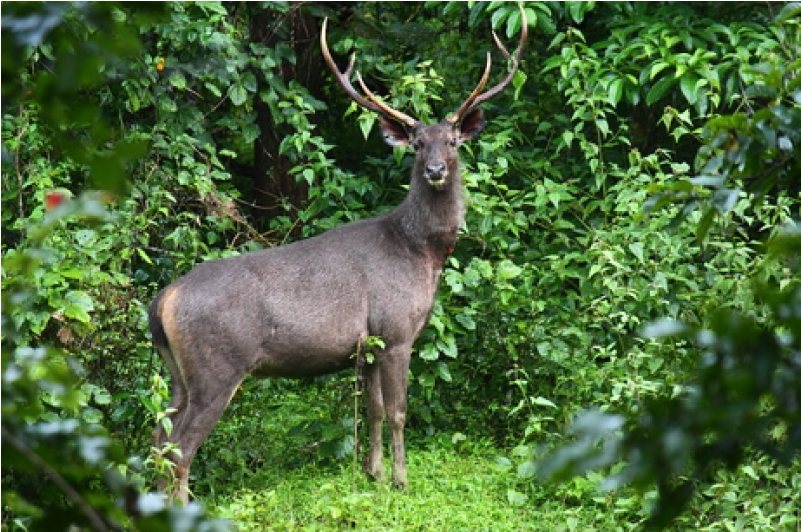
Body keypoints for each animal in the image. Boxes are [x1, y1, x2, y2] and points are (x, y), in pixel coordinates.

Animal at [149, 7, 527, 503]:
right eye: (417, 144)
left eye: (453, 141)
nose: (435, 170)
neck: (420, 252)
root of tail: (163, 301)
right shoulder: (396, 330)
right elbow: (400, 412)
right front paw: (402, 481)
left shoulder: (366, 345)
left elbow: (374, 411)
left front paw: (374, 474)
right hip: (218, 364)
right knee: (179, 448)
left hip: (176, 371)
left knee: (157, 439)